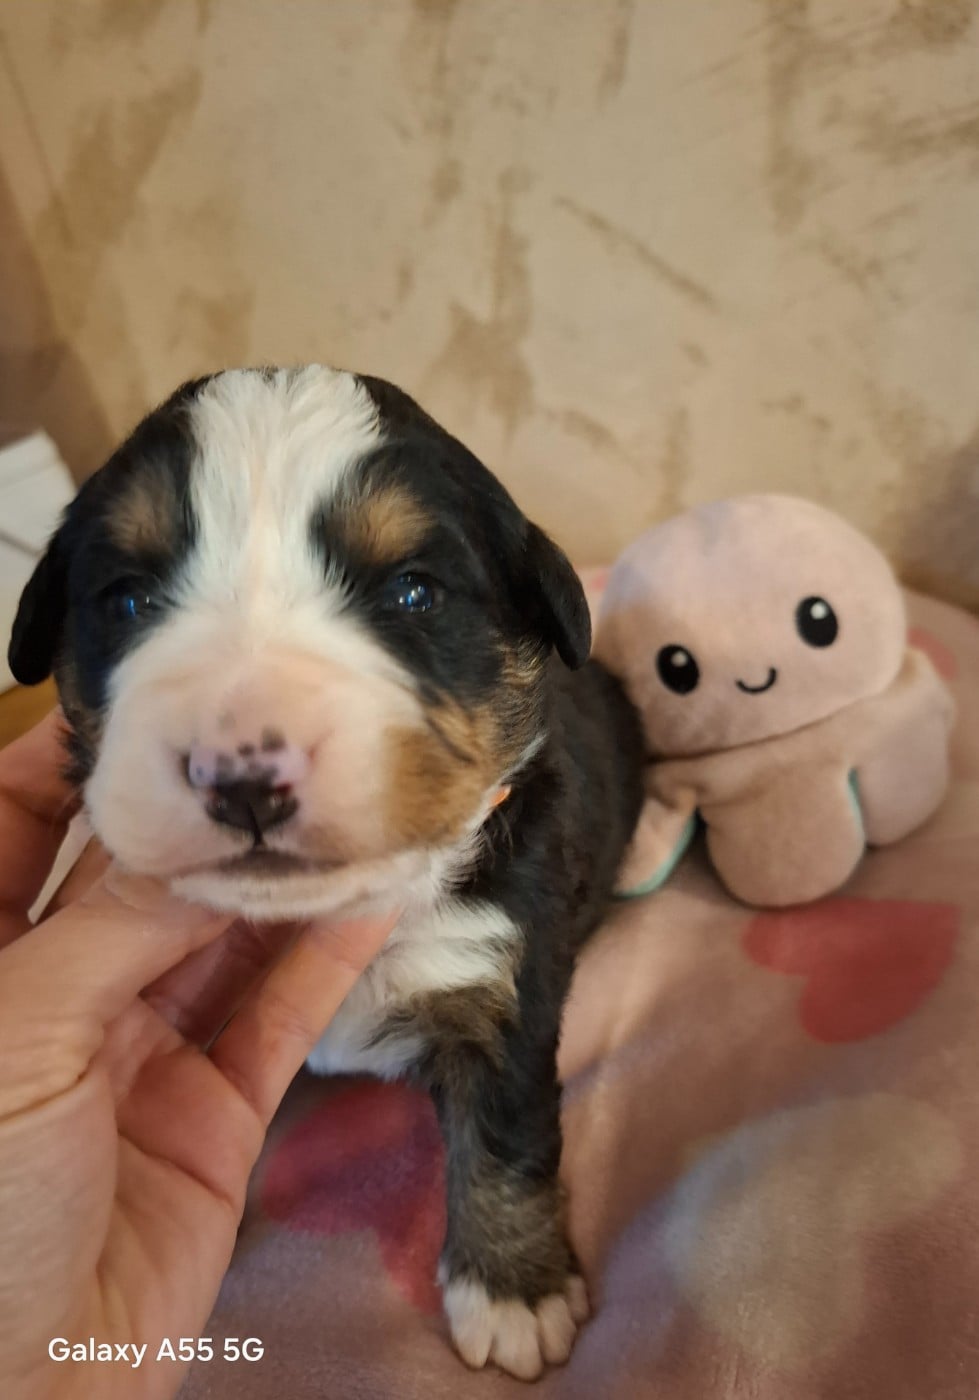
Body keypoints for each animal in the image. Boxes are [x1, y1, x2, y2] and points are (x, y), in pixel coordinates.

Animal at [9, 366, 644, 1380]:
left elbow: (506, 1136)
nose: (242, 774)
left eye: (413, 593)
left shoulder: (503, 972)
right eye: (129, 601)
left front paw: (514, 1293)